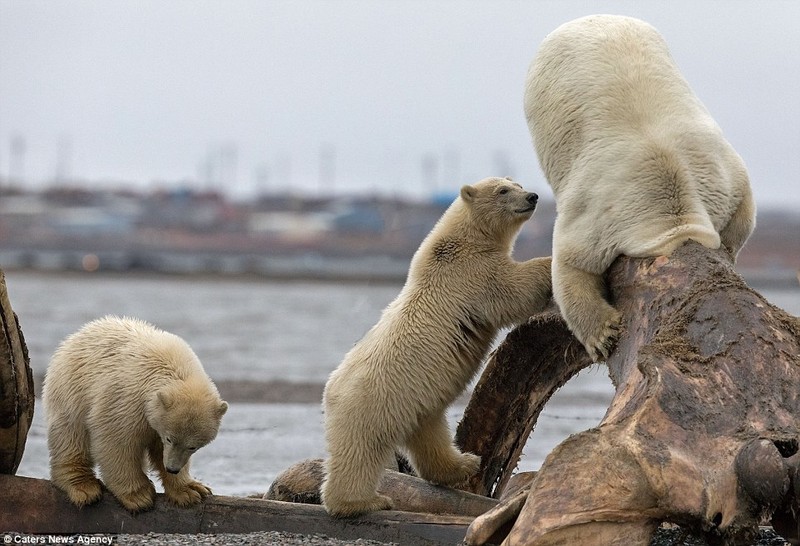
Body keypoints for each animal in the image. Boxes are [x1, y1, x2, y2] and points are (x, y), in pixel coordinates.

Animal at [43, 314, 227, 510]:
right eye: (170, 438)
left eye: (193, 446)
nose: (172, 468)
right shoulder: (126, 400)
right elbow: (117, 442)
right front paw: (139, 496)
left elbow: (158, 448)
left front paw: (191, 490)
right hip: (72, 391)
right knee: (71, 436)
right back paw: (84, 487)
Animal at [322, 175, 552, 516]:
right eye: (503, 191)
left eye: (518, 184)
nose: (533, 196)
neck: (460, 239)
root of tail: (331, 391)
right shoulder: (471, 272)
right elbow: (511, 288)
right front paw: (552, 263)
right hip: (373, 402)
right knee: (361, 451)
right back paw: (362, 502)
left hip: (418, 405)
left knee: (430, 438)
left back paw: (466, 462)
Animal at [524, 14, 756, 360]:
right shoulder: (600, 213)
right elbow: (571, 262)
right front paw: (603, 336)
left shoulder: (719, 173)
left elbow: (743, 208)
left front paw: (727, 249)